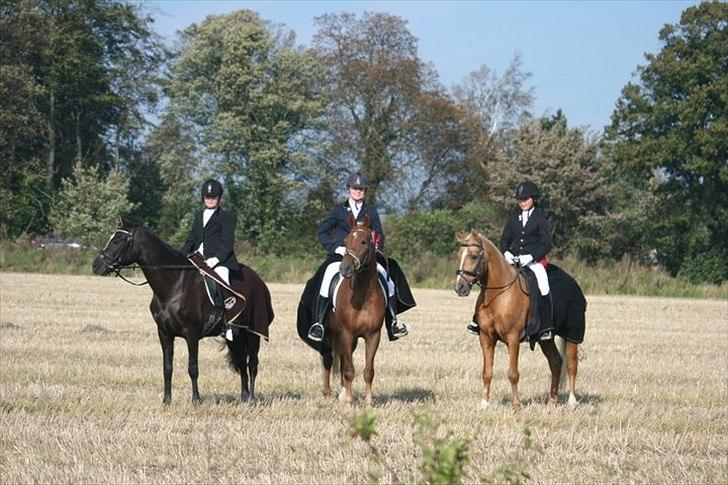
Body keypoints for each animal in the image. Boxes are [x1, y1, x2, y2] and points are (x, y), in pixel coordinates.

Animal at [91, 217, 272, 402]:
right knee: (242, 362)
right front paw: (166, 400)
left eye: (118, 240)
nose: (96, 266)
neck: (174, 284)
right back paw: (244, 396)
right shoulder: (164, 333)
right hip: (235, 335)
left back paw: (252, 399)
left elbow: (193, 368)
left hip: (253, 331)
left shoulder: (191, 334)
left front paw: (196, 400)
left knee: (252, 364)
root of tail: (258, 280)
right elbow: (167, 368)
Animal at [320, 214, 386, 406]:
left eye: (364, 241)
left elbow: (368, 371)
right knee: (328, 359)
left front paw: (368, 403)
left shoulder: (373, 335)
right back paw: (327, 392)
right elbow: (349, 369)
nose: (345, 269)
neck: (363, 296)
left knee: (341, 361)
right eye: (346, 241)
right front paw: (349, 402)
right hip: (330, 334)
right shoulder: (346, 333)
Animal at [456, 231, 580, 408]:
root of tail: (574, 283)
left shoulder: (513, 338)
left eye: (473, 256)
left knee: (571, 365)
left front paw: (516, 405)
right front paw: (484, 404)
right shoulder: (486, 337)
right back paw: (551, 401)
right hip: (546, 339)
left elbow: (513, 373)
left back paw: (571, 402)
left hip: (572, 335)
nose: (460, 288)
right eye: (459, 255)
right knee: (556, 362)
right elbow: (487, 372)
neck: (498, 294)